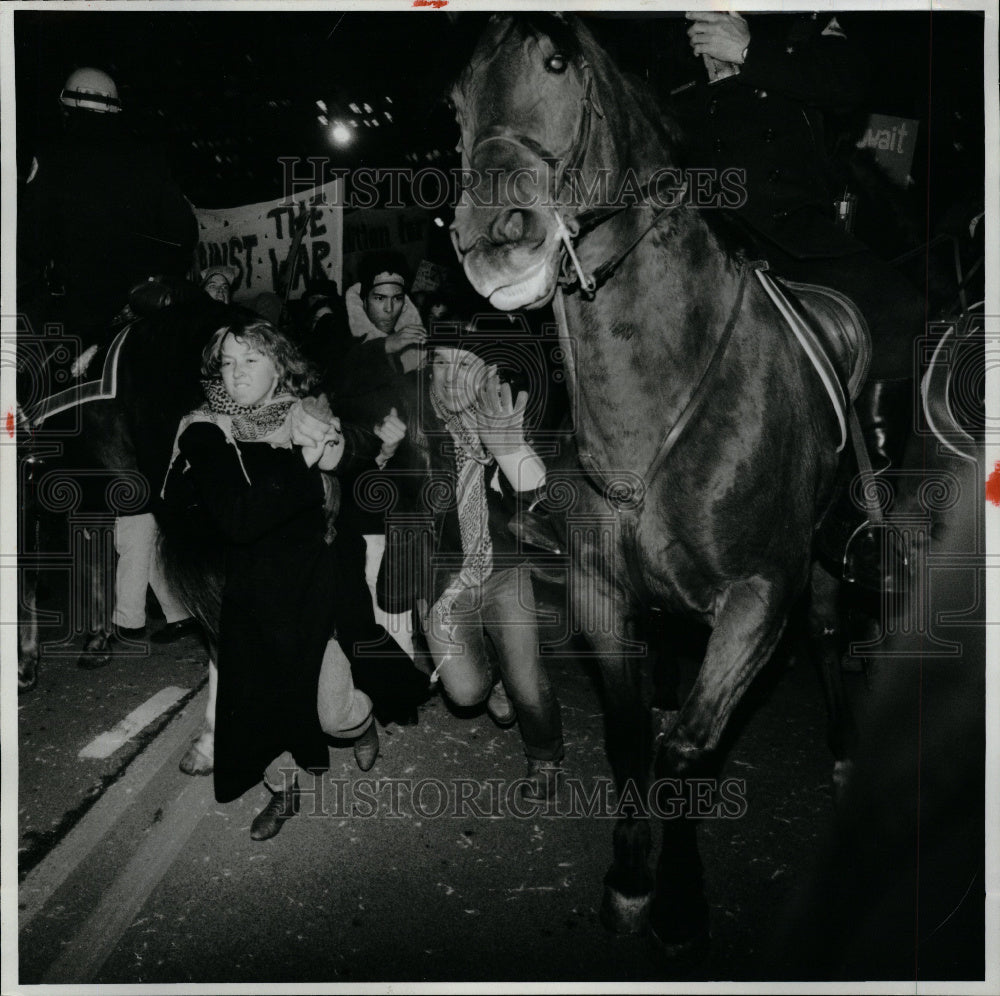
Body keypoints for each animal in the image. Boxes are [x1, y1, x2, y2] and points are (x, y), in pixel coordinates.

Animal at [450, 11, 880, 952]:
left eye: (557, 61)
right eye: (457, 98)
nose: (494, 237)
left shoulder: (761, 595)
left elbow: (687, 747)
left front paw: (679, 900)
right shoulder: (601, 592)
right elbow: (627, 739)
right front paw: (631, 875)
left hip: (823, 557)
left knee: (829, 633)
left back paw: (844, 755)